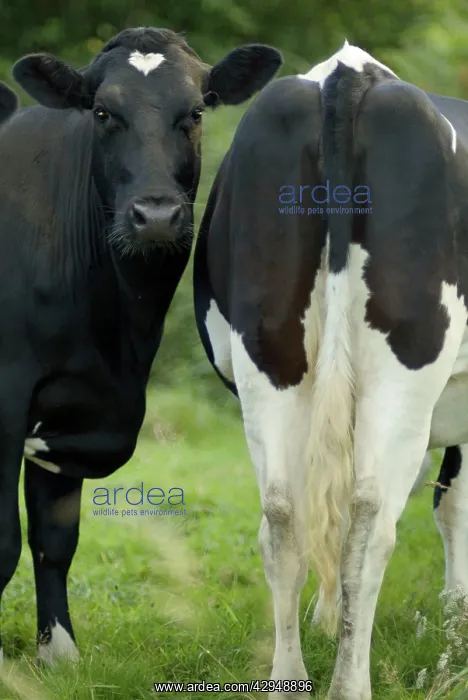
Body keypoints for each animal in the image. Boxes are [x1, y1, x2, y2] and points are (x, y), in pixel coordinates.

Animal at [0, 27, 282, 665]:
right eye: (103, 113)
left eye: (196, 112)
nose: (155, 215)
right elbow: (1, 543)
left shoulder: (69, 408)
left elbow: (55, 538)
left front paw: (59, 655)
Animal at [194, 41, 468, 699]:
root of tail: (350, 74)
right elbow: (453, 504)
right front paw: (457, 622)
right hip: (406, 365)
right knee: (371, 525)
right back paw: (349, 683)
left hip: (269, 354)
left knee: (284, 516)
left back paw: (289, 675)